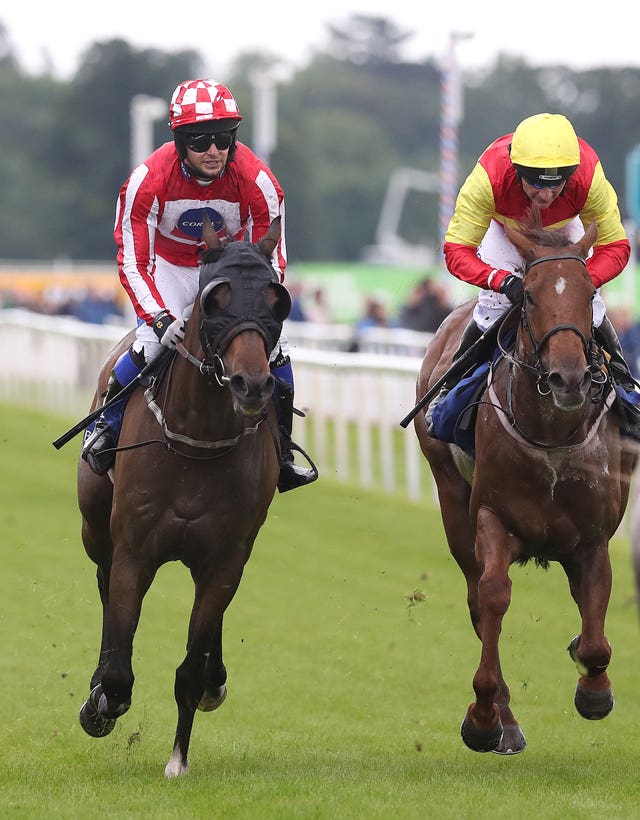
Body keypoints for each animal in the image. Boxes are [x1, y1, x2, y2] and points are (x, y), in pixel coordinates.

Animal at [75, 216, 292, 776]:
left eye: (275, 300)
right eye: (216, 299)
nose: (251, 384)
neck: (197, 440)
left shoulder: (225, 558)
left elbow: (192, 666)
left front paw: (179, 758)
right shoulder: (134, 551)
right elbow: (118, 670)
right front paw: (100, 704)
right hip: (95, 527)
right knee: (103, 584)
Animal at [412, 216, 636, 756]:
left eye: (590, 291)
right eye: (529, 296)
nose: (568, 378)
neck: (552, 434)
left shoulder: (593, 536)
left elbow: (595, 624)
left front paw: (594, 689)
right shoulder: (492, 516)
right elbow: (492, 596)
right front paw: (485, 718)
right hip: (451, 500)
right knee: (476, 595)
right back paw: (504, 720)